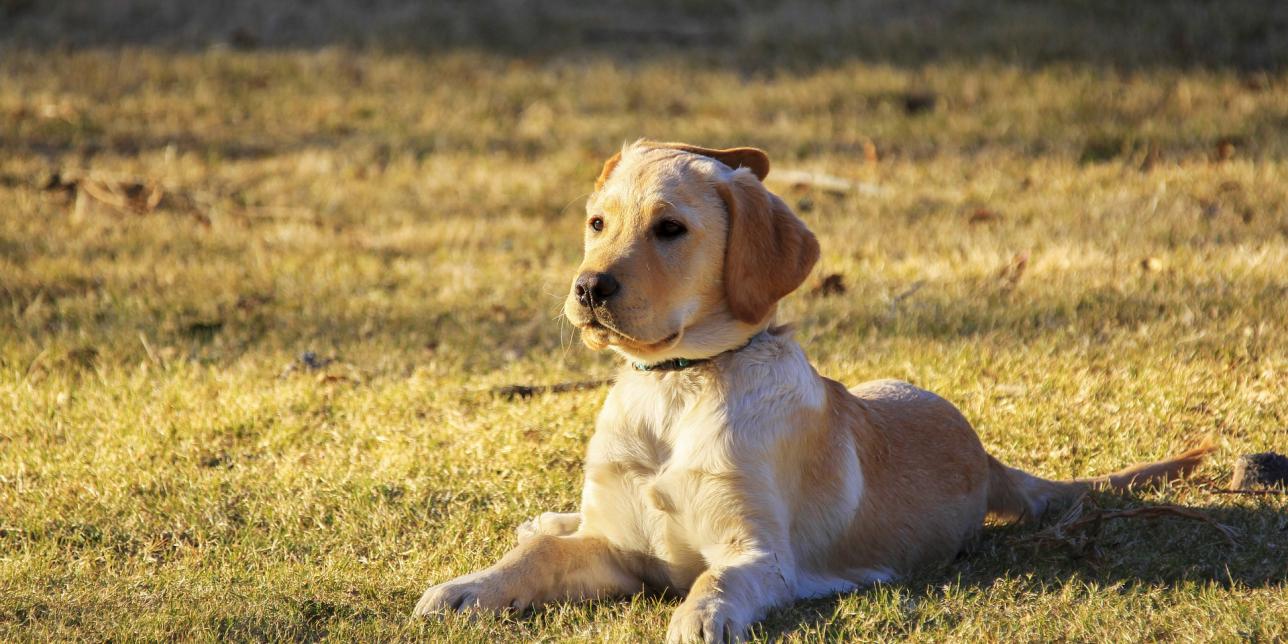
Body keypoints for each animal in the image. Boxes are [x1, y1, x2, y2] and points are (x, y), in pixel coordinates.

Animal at [417, 141, 1210, 644]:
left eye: (670, 228)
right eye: (596, 223)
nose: (587, 288)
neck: (678, 388)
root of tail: (986, 459)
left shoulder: (758, 554)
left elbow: (716, 583)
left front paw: (697, 619)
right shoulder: (613, 547)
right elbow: (535, 562)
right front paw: (467, 588)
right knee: (554, 529)